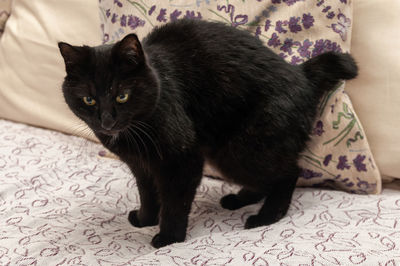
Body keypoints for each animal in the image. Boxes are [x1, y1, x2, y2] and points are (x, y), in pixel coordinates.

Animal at [57, 19, 358, 249]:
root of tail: (301, 74)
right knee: (267, 179)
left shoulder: (182, 159)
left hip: (242, 148)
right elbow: (148, 193)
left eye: (122, 95)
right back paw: (238, 199)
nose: (107, 121)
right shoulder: (140, 165)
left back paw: (265, 217)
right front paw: (145, 219)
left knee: (287, 173)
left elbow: (175, 202)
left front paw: (168, 237)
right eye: (88, 100)